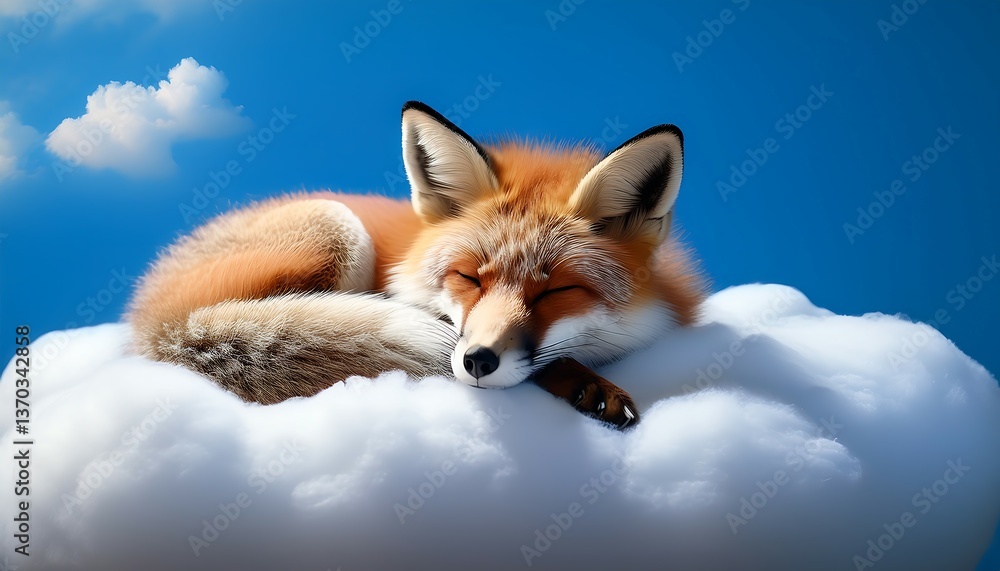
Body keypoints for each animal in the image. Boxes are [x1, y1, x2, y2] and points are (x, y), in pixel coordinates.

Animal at [127, 101, 704, 429]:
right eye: (468, 277)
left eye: (554, 292)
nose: (477, 361)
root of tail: (151, 319)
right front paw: (583, 382)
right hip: (336, 227)